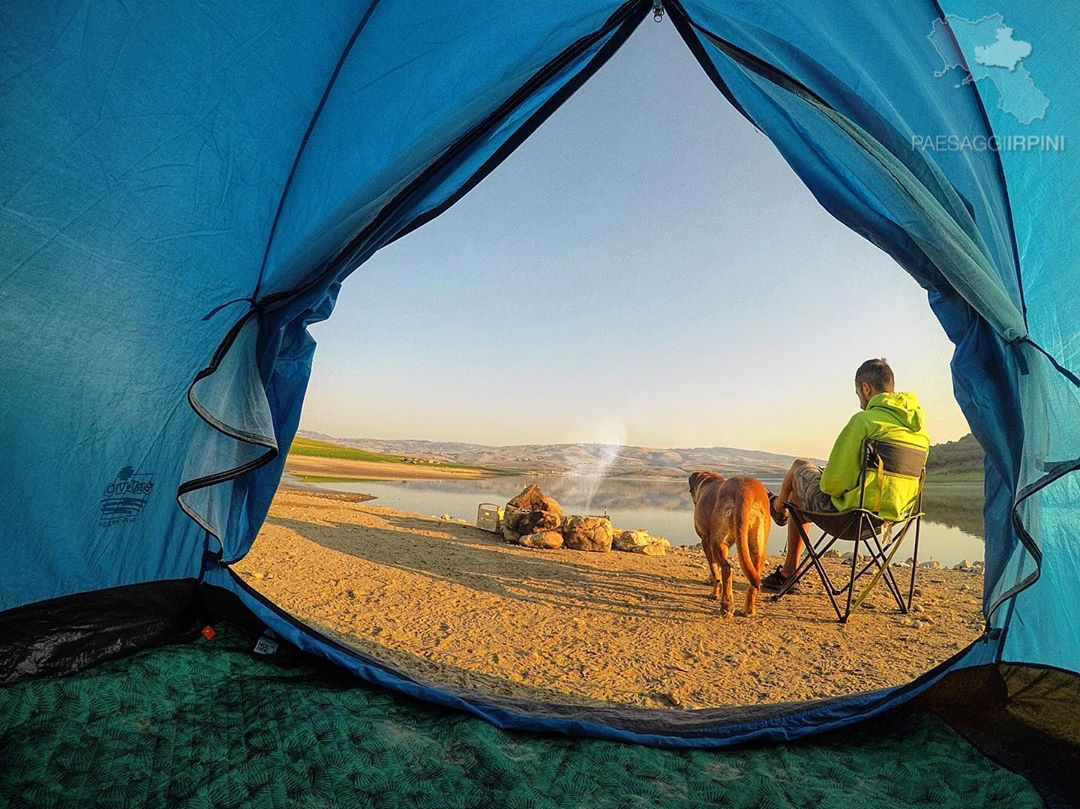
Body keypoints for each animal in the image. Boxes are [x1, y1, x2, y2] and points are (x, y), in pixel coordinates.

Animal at [691, 470, 768, 613]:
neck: (708, 481)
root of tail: (744, 489)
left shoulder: (707, 541)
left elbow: (714, 569)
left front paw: (714, 593)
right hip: (757, 541)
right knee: (755, 571)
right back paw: (748, 609)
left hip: (718, 542)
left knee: (727, 568)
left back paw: (727, 604)